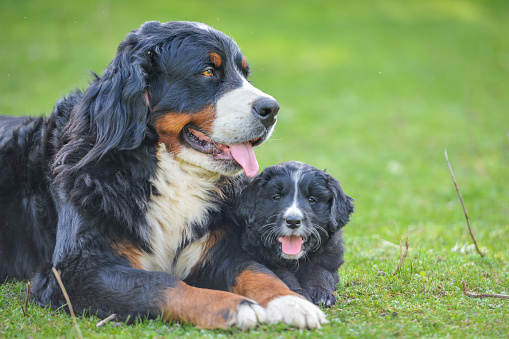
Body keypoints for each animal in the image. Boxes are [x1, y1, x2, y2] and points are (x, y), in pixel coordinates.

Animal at [0, 20, 326, 330]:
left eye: (245, 74)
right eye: (208, 72)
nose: (271, 109)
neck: (167, 171)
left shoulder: (215, 249)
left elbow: (257, 272)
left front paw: (292, 302)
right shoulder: (74, 271)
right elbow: (160, 285)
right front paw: (234, 307)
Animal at [235, 163, 352, 310]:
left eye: (312, 200)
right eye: (276, 197)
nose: (293, 221)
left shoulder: (328, 258)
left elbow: (320, 273)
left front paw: (322, 295)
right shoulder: (261, 259)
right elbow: (284, 277)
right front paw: (300, 296)